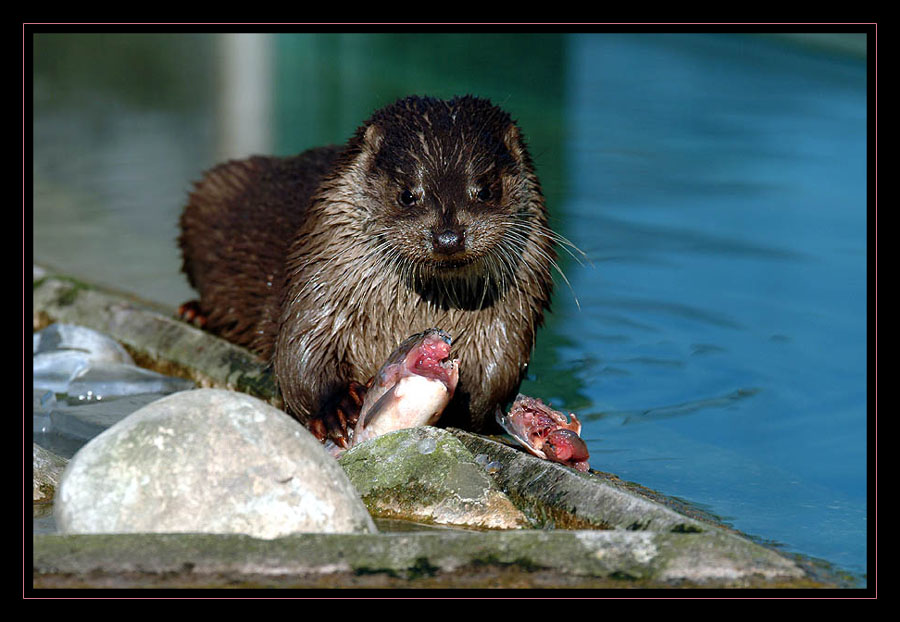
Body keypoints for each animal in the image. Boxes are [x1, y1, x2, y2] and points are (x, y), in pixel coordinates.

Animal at [178, 95, 556, 446]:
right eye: (407, 194)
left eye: (487, 190)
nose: (448, 237)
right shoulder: (319, 279)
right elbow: (297, 353)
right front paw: (336, 408)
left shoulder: (512, 320)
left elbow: (496, 379)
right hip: (211, 190)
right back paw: (195, 312)